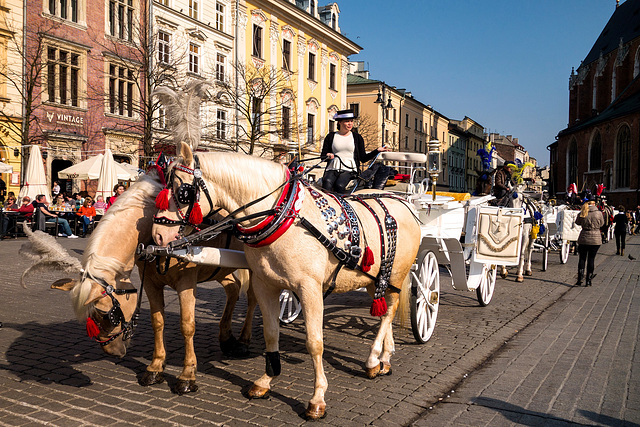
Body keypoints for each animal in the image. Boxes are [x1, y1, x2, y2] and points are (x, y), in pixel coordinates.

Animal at [23, 171, 256, 394]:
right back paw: (227, 338)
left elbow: (187, 325)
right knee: (233, 289)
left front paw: (187, 376)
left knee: (253, 299)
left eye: (107, 315)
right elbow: (157, 322)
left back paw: (244, 340)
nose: (112, 351)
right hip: (221, 267)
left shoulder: (187, 282)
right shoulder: (151, 283)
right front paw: (155, 367)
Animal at [150, 142, 420, 420]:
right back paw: (383, 360)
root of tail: (402, 202)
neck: (283, 214)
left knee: (389, 311)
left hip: (396, 273)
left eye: (182, 192)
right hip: (373, 280)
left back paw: (373, 358)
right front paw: (266, 380)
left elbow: (314, 342)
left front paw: (317, 399)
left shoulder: (310, 288)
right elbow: (271, 333)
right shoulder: (265, 284)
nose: (157, 235)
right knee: (386, 310)